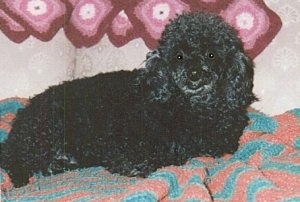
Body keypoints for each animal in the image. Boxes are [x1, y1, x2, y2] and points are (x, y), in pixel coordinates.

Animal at [1, 11, 256, 187]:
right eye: (179, 56)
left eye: (211, 54)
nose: (193, 74)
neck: (193, 106)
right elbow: (160, 155)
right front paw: (135, 166)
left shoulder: (221, 142)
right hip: (50, 130)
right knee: (15, 159)